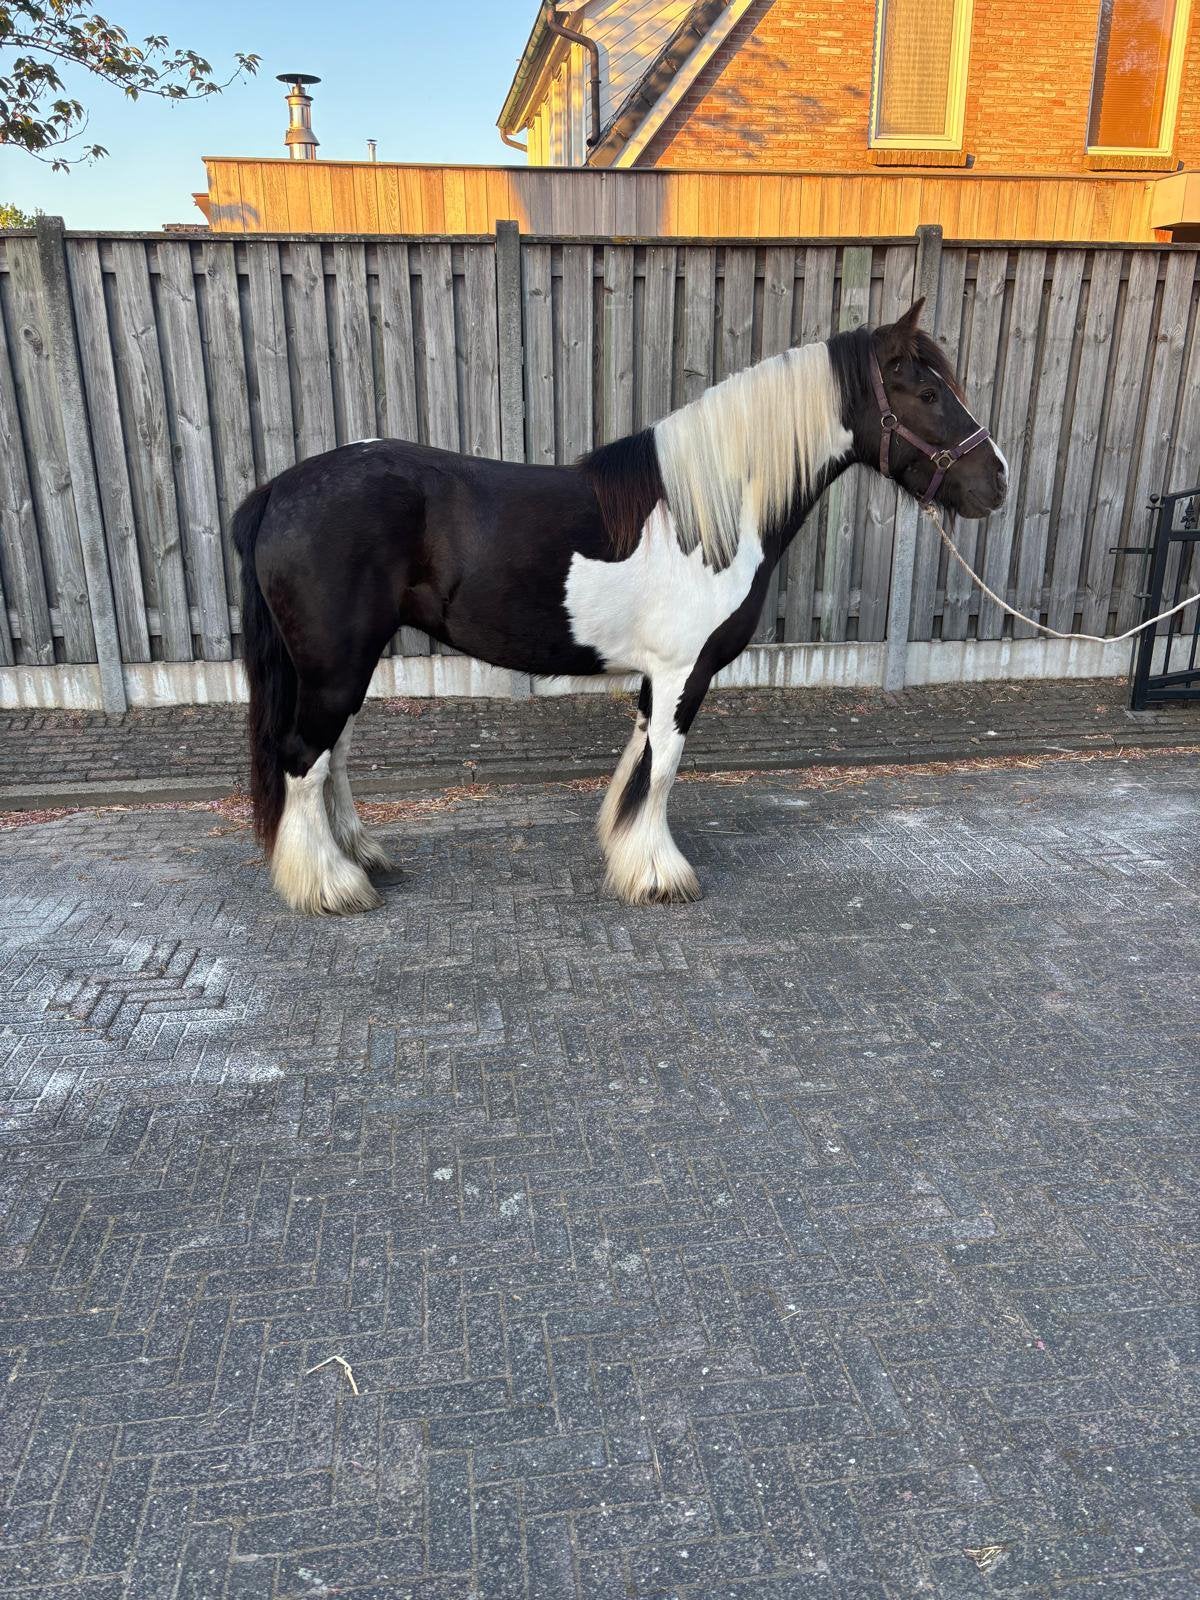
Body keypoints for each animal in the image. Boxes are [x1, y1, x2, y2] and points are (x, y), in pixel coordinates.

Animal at [231, 297, 1006, 916]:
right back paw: (331, 885)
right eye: (928, 391)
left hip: (342, 666)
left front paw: (629, 852)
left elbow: (641, 762)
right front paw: (661, 876)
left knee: (333, 756)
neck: (708, 513)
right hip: (335, 667)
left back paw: (360, 857)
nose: (995, 481)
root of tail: (278, 490)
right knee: (305, 758)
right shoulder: (685, 672)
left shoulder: (658, 676)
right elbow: (662, 766)